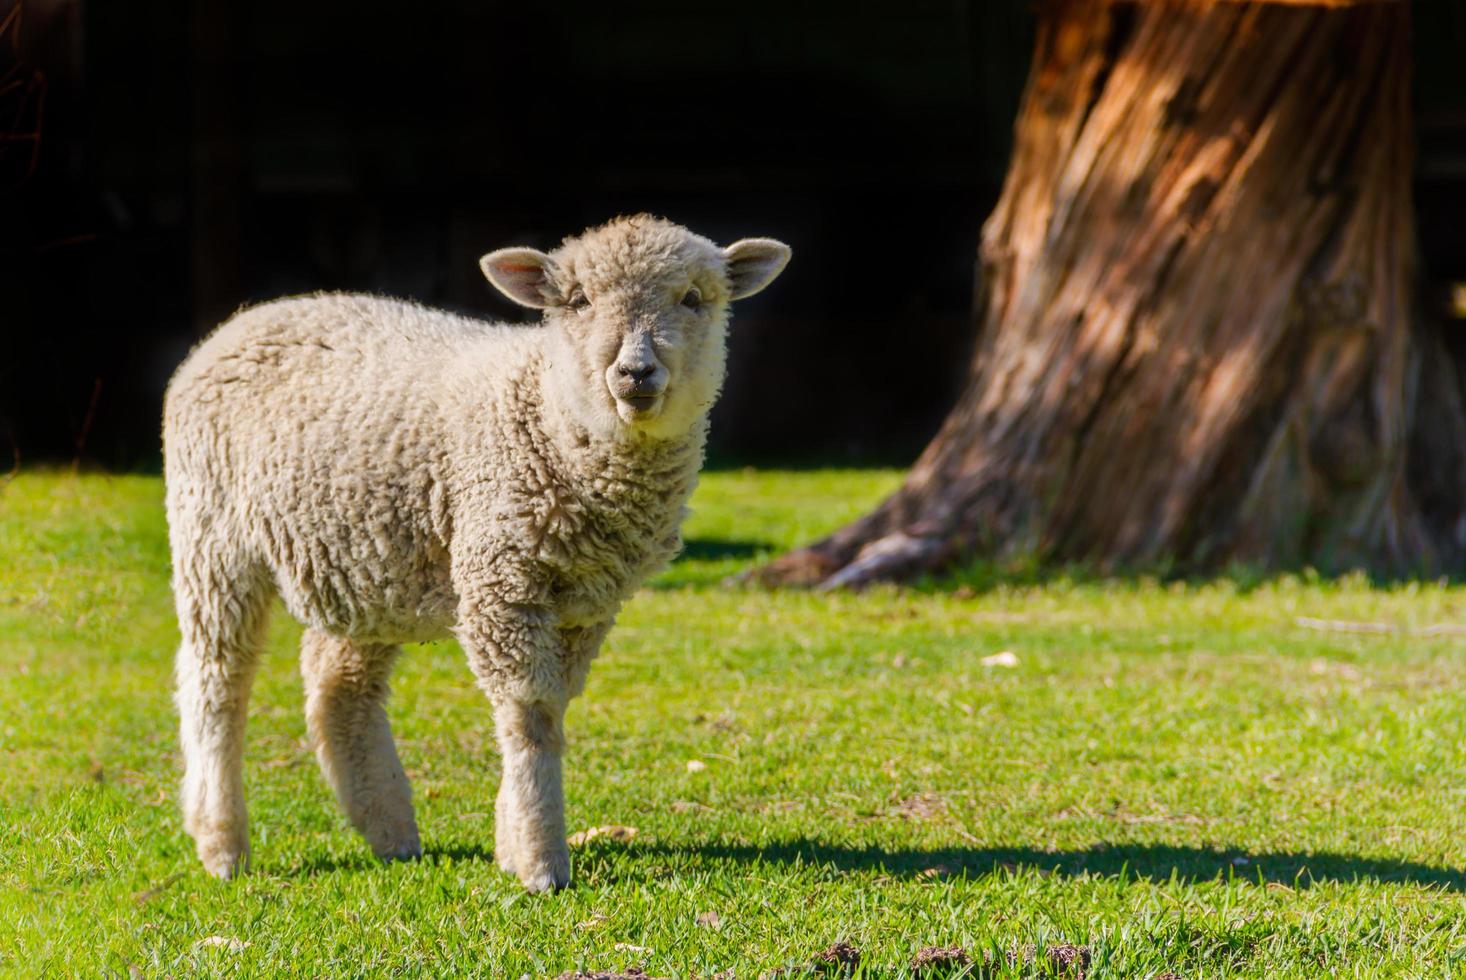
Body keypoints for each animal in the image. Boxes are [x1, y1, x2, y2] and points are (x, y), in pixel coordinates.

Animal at [163, 218, 791, 891]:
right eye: (578, 301)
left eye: (694, 299)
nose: (634, 371)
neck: (549, 410)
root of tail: (246, 320)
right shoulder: (501, 580)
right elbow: (529, 715)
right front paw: (541, 861)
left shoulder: (585, 604)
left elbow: (550, 711)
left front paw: (511, 839)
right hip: (212, 535)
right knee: (215, 682)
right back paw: (221, 843)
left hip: (364, 559)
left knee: (338, 685)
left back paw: (390, 831)